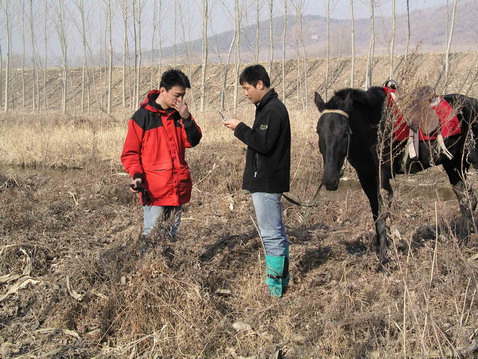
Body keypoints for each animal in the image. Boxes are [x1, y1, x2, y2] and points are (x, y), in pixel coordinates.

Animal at [314, 87, 478, 268]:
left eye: (345, 132)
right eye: (318, 131)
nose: (329, 180)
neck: (374, 129)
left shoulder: (382, 177)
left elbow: (382, 216)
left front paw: (383, 260)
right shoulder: (366, 177)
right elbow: (375, 214)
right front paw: (380, 251)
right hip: (454, 165)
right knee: (466, 199)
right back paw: (463, 241)